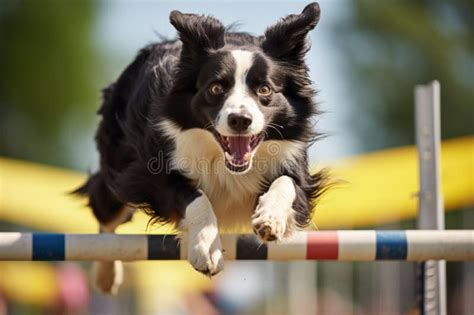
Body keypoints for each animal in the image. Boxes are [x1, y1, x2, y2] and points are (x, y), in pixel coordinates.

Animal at [75, 2, 326, 294]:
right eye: (216, 88)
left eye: (264, 89)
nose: (240, 120)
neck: (223, 160)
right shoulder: (152, 173)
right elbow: (195, 197)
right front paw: (206, 249)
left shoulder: (294, 164)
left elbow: (287, 183)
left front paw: (270, 218)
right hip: (118, 166)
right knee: (106, 217)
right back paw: (106, 275)